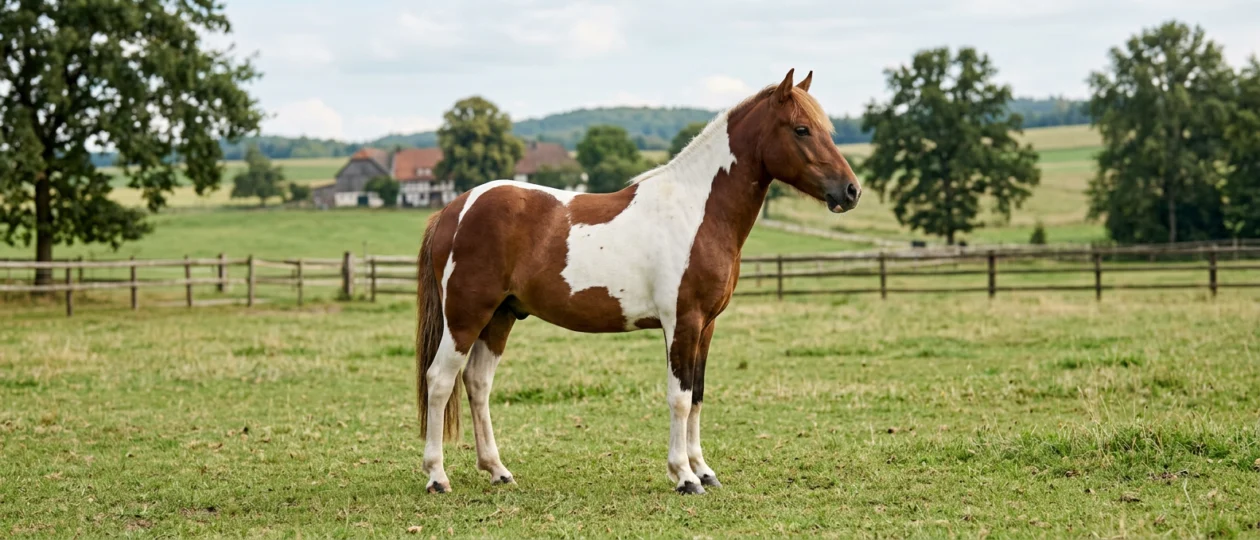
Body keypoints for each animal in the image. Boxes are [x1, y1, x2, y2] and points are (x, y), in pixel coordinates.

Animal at [414, 68, 861, 495]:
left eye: (826, 129)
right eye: (801, 129)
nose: (851, 191)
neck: (698, 210)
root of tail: (453, 209)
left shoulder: (707, 326)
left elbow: (697, 396)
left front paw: (705, 471)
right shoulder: (683, 322)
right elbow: (679, 398)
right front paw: (684, 477)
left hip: (501, 316)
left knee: (477, 383)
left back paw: (498, 471)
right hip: (466, 316)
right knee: (440, 381)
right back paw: (437, 477)